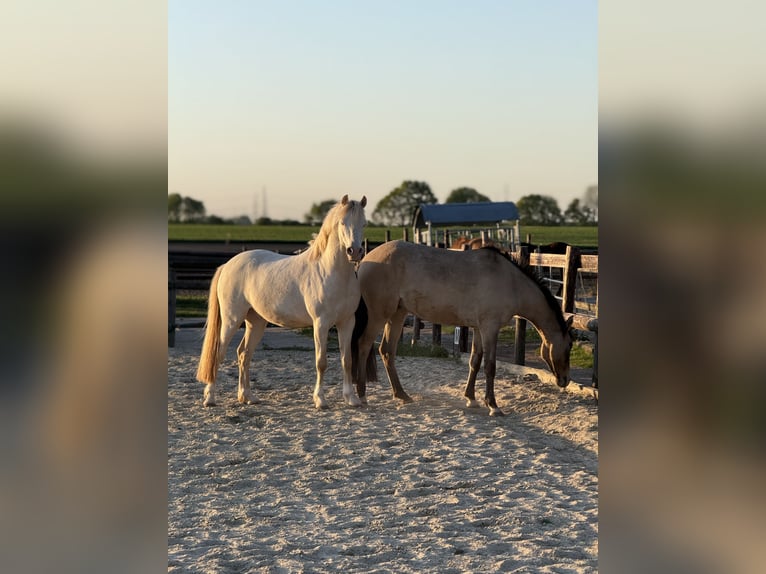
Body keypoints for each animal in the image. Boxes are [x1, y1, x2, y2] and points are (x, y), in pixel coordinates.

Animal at [196, 195, 368, 409]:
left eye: (364, 223)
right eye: (342, 223)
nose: (355, 251)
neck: (331, 271)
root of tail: (228, 264)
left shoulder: (346, 322)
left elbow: (347, 360)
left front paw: (351, 398)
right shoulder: (321, 323)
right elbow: (321, 362)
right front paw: (320, 399)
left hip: (256, 322)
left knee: (244, 353)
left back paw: (247, 396)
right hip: (231, 320)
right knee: (219, 354)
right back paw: (210, 398)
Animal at [351, 240, 573, 416]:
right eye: (569, 346)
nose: (565, 380)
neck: (511, 282)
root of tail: (367, 259)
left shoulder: (478, 329)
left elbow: (475, 361)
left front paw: (471, 398)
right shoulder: (490, 328)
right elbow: (490, 366)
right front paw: (493, 406)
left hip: (397, 315)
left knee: (386, 351)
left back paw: (401, 394)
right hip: (378, 316)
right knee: (363, 346)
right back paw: (362, 395)